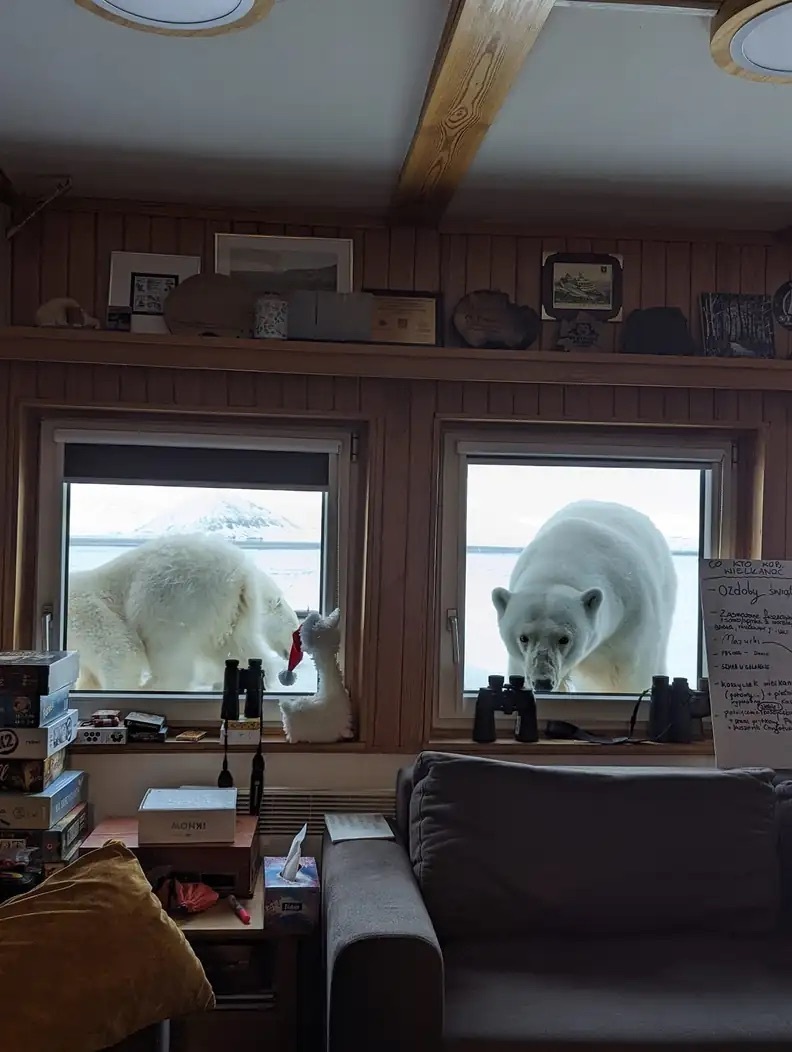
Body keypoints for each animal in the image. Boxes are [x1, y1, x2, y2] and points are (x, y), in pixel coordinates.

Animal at [65, 534, 296, 690]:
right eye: (293, 630)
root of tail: (241, 576)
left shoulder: (87, 616)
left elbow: (120, 656)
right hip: (229, 613)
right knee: (236, 647)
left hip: (171, 598)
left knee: (168, 654)